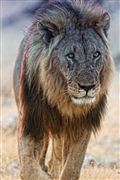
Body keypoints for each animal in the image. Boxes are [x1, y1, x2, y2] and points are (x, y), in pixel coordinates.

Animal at [13, 0, 113, 179]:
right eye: (70, 56)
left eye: (96, 54)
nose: (87, 87)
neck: (62, 99)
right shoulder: (31, 120)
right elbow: (28, 167)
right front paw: (42, 174)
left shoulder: (82, 124)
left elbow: (72, 166)